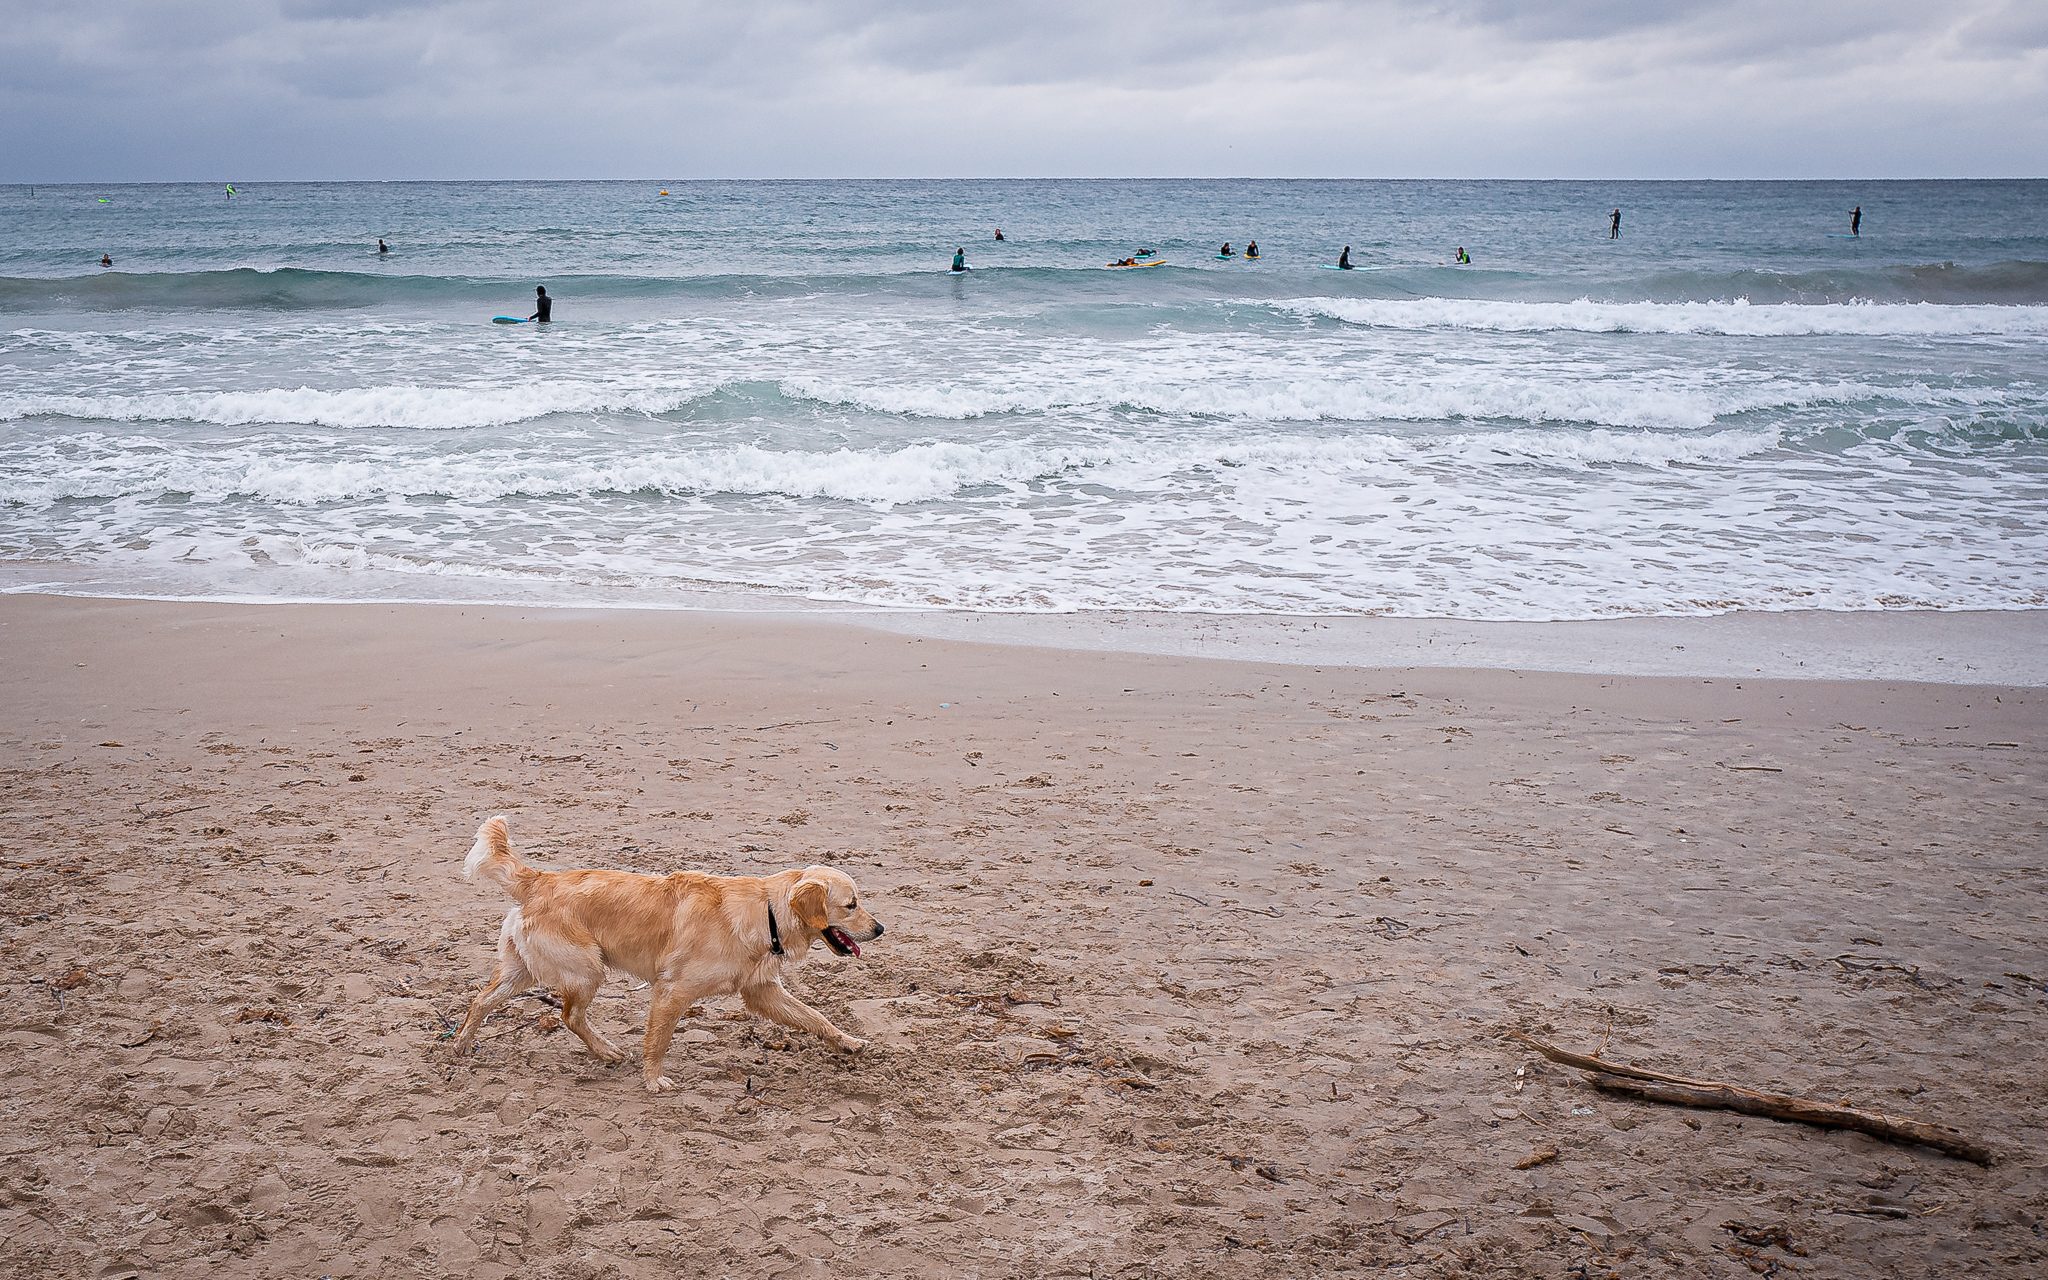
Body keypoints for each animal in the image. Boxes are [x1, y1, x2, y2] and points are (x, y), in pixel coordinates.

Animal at [454, 815, 880, 1089]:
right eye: (852, 905)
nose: (881, 928)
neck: (767, 911)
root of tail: (540, 880)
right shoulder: (672, 990)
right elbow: (658, 1040)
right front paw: (653, 1080)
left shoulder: (762, 991)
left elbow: (815, 1017)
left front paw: (847, 1042)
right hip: (586, 968)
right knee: (570, 1016)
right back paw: (607, 1051)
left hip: (523, 968)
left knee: (481, 1000)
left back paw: (460, 1045)